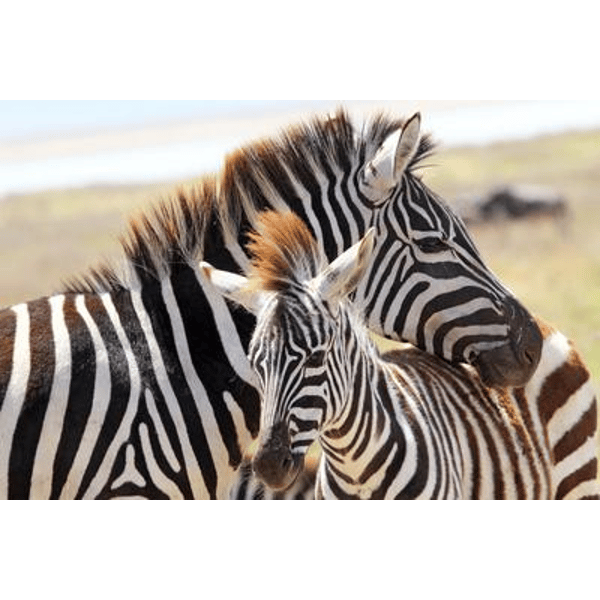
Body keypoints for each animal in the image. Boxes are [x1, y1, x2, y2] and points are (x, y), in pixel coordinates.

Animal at [207, 211, 598, 499]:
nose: (269, 466)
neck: (354, 468)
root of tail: (545, 327)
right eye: (255, 367)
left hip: (580, 480)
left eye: (315, 358)